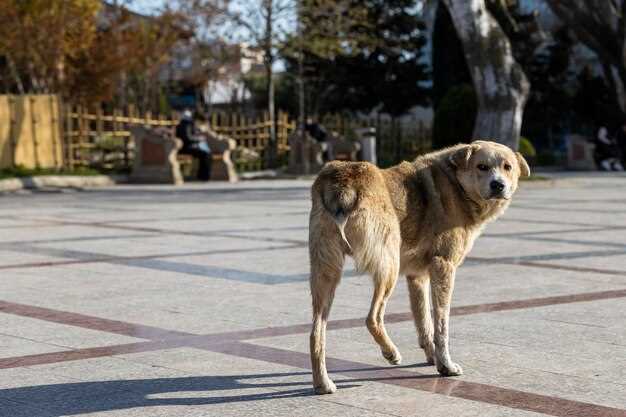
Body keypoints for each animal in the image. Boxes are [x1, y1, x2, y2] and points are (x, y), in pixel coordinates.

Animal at [308, 140, 528, 394]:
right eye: (482, 166)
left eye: (507, 167)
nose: (498, 185)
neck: (456, 184)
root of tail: (345, 181)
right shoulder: (443, 266)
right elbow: (441, 325)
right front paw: (446, 366)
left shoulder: (417, 276)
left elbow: (425, 323)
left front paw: (433, 360)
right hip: (389, 266)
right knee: (372, 318)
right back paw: (391, 353)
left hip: (326, 272)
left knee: (316, 332)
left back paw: (323, 383)